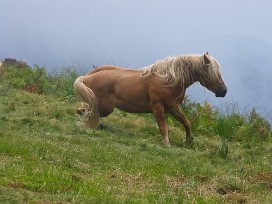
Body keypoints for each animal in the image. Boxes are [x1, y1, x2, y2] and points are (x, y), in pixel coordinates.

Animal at [74, 52, 227, 145]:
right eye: (213, 73)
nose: (224, 91)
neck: (168, 80)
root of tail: (86, 77)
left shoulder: (173, 107)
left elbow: (186, 122)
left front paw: (189, 140)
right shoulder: (157, 107)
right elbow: (163, 127)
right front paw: (167, 144)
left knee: (84, 110)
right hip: (106, 108)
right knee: (89, 111)